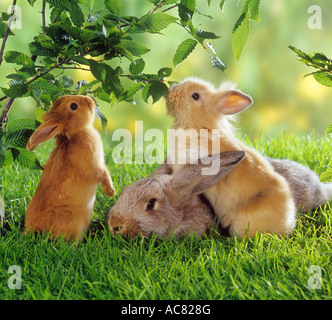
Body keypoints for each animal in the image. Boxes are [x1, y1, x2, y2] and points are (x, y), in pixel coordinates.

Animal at [25, 95, 115, 240]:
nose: (89, 99)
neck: (74, 134)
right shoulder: (96, 166)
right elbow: (104, 174)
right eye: (73, 106)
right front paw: (111, 192)